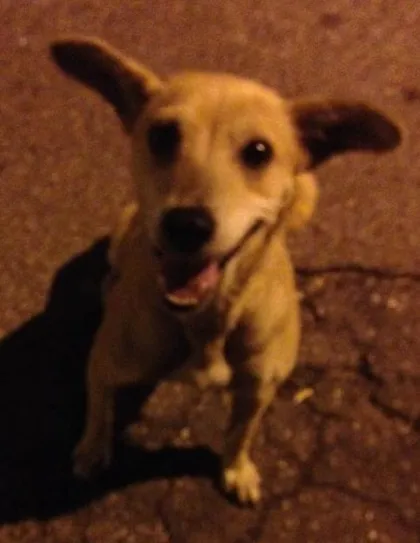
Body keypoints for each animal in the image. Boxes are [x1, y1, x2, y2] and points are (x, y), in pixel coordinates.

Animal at [50, 36, 401, 504]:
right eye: (162, 135)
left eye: (259, 152)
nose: (187, 225)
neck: (206, 322)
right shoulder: (105, 364)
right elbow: (98, 412)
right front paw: (92, 450)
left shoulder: (259, 390)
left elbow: (240, 434)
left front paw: (236, 470)